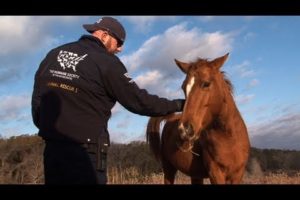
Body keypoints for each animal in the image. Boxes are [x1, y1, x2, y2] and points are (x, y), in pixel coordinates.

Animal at [146, 53, 250, 184]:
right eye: (183, 87)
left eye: (206, 83)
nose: (184, 129)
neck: (230, 139)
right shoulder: (215, 173)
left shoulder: (238, 174)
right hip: (169, 169)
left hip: (195, 175)